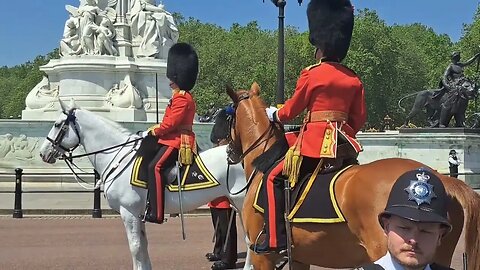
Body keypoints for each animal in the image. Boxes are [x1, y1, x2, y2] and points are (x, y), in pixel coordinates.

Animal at [39, 99, 251, 270]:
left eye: (57, 124)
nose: (43, 153)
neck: (118, 158)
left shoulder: (129, 211)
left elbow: (135, 247)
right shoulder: (138, 214)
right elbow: (142, 245)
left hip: (242, 204)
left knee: (250, 240)